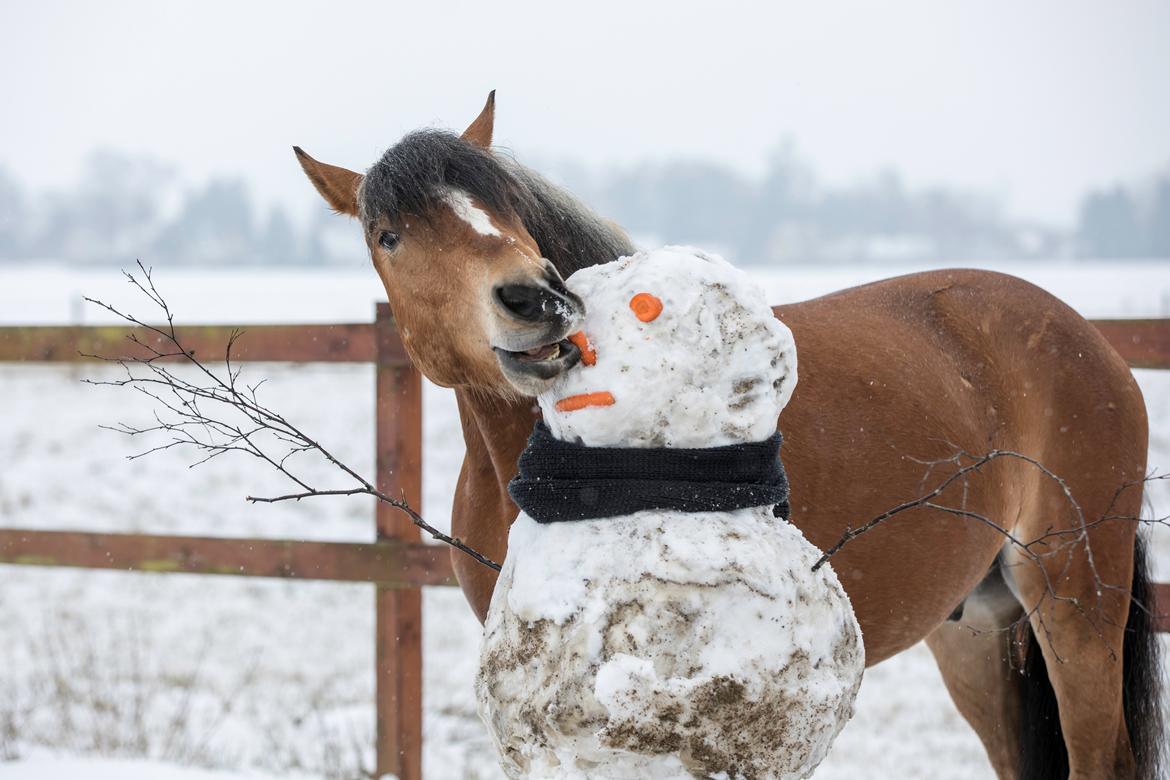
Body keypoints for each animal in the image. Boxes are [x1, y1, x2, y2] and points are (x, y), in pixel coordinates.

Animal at [294, 94, 1160, 776]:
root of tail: (1087, 338)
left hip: (1074, 607)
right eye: (389, 236)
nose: (533, 299)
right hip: (979, 635)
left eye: (506, 207)